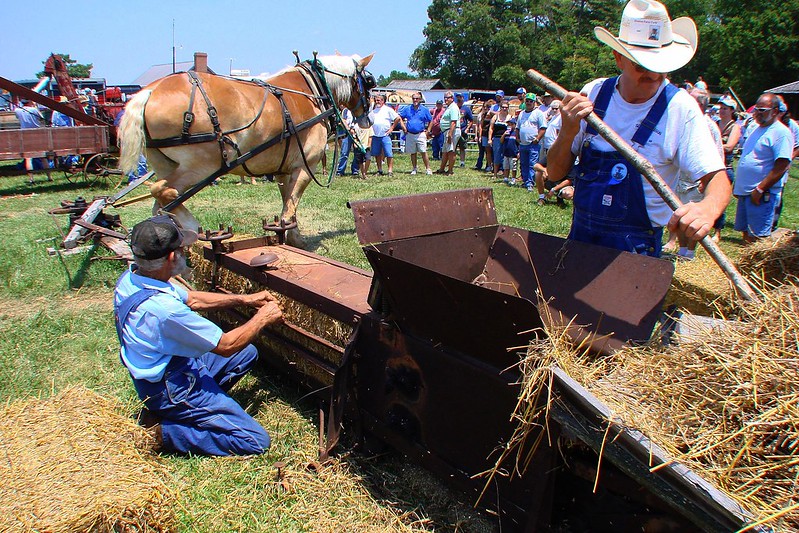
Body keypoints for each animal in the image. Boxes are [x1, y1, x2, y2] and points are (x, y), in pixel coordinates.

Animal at [119, 53, 376, 246]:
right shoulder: (304, 166)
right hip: (201, 165)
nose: (368, 120)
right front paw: (294, 241)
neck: (313, 89)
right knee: (163, 193)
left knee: (160, 205)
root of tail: (149, 91)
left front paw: (291, 236)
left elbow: (287, 205)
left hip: (165, 164)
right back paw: (196, 231)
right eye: (369, 82)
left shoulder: (283, 170)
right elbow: (291, 206)